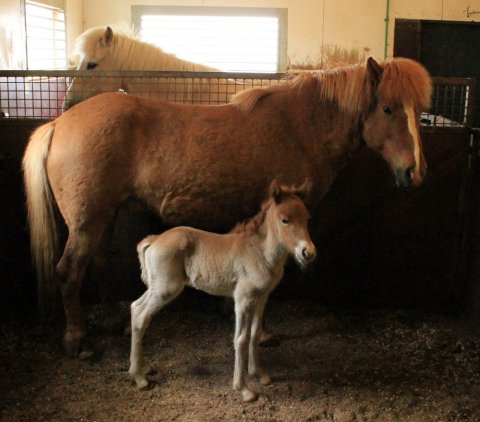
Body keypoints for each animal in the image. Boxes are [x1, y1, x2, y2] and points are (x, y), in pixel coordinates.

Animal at [22, 56, 434, 360]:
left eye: (418, 111)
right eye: (388, 108)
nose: (414, 172)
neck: (301, 127)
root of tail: (60, 123)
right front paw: (261, 333)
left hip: (103, 216)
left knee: (98, 264)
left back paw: (114, 322)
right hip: (88, 220)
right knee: (68, 271)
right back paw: (79, 341)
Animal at [128, 179, 316, 402]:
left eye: (307, 218)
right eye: (285, 220)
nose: (308, 253)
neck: (260, 251)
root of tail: (155, 239)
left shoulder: (262, 298)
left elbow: (255, 334)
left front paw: (259, 374)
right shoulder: (242, 299)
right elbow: (241, 339)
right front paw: (244, 389)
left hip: (157, 287)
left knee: (136, 308)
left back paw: (143, 367)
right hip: (165, 289)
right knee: (141, 315)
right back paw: (138, 378)